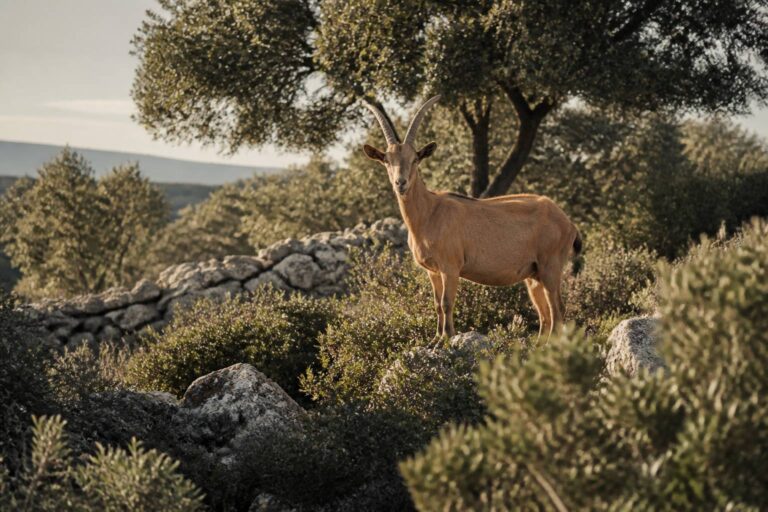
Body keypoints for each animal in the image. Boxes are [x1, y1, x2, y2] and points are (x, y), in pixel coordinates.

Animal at [362, 96, 582, 341]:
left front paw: (447, 339)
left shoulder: (450, 267)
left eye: (415, 159)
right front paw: (436, 338)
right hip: (533, 275)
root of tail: (568, 222)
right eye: (386, 160)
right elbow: (437, 304)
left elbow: (447, 303)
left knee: (557, 310)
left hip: (550, 267)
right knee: (544, 314)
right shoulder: (433, 271)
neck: (429, 212)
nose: (401, 183)